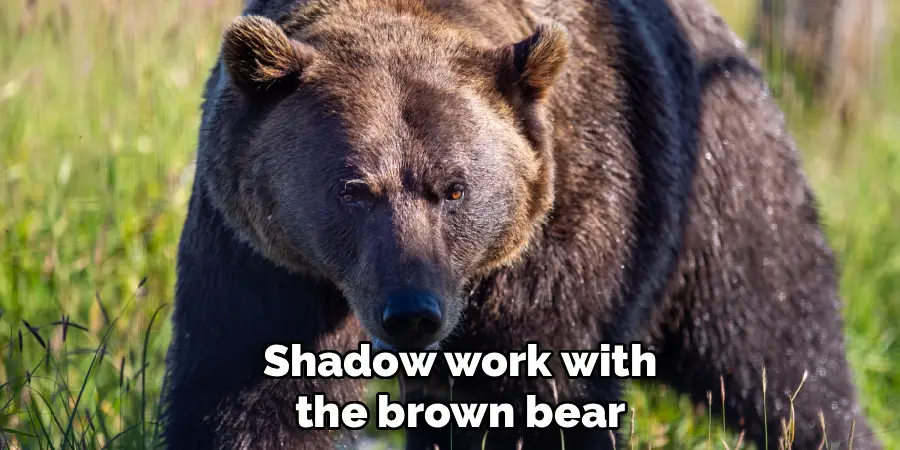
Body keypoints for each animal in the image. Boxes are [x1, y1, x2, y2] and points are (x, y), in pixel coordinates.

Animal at [160, 0, 881, 449]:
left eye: (454, 189)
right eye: (354, 189)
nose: (412, 312)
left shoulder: (566, 231)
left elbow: (528, 396)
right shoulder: (266, 259)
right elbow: (249, 390)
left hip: (724, 192)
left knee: (781, 352)